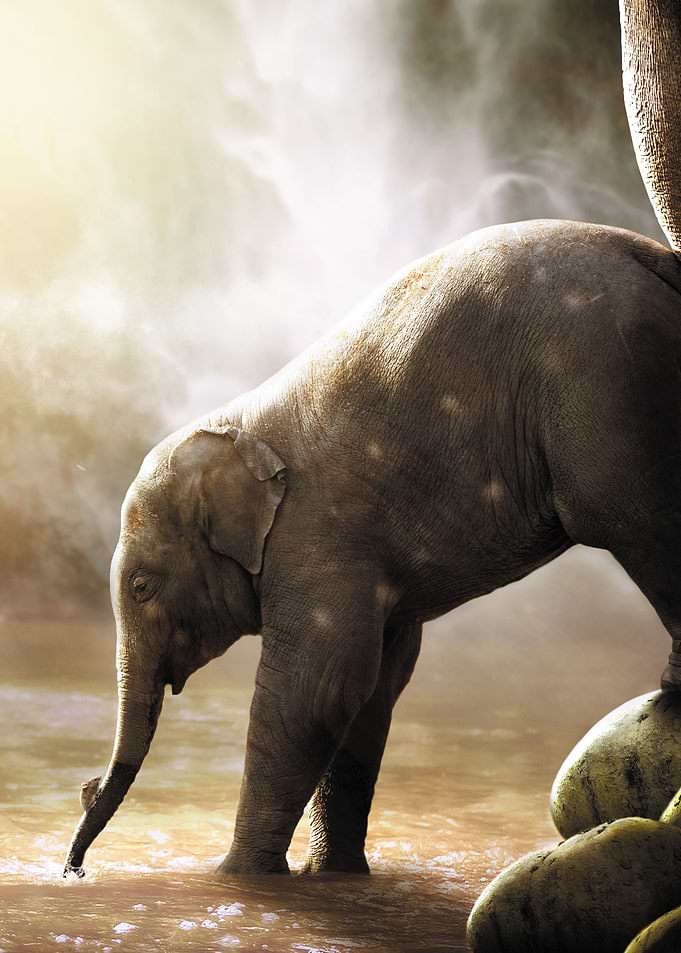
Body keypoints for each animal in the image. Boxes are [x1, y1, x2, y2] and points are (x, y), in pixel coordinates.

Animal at [64, 0, 681, 878]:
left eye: (143, 586)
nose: (74, 864)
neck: (239, 422)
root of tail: (652, 255)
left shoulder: (318, 542)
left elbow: (316, 688)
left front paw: (239, 879)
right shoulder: (371, 569)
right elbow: (376, 685)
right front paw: (333, 878)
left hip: (605, 396)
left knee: (640, 524)